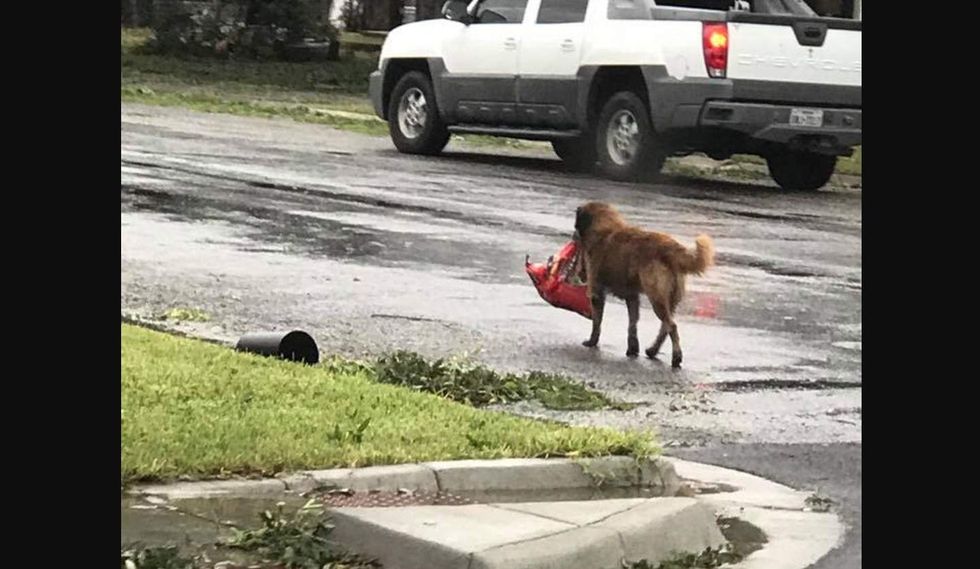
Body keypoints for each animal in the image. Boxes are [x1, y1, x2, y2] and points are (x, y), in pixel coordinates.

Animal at [576, 202, 712, 366]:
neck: (605, 227)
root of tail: (670, 247)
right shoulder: (632, 297)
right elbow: (632, 324)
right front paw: (633, 349)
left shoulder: (597, 293)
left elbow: (597, 322)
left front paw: (592, 342)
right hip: (669, 300)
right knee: (665, 326)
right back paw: (653, 350)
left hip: (656, 298)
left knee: (671, 326)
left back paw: (676, 357)